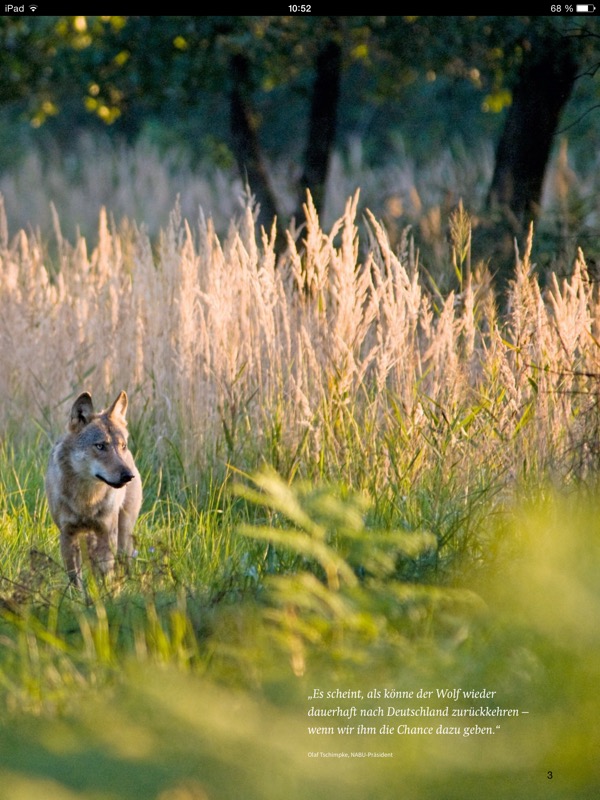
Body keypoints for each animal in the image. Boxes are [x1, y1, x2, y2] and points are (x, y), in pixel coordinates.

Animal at [45, 391, 142, 587]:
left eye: (122, 446)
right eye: (100, 446)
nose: (128, 476)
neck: (86, 500)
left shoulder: (106, 533)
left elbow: (105, 575)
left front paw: (107, 594)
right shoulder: (68, 535)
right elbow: (75, 581)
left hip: (123, 533)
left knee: (123, 560)